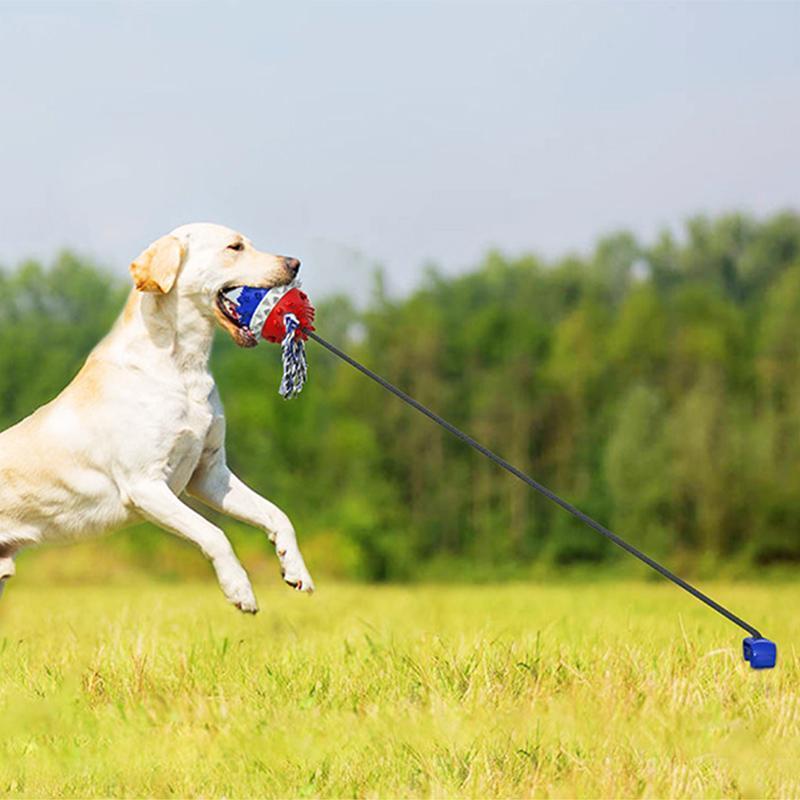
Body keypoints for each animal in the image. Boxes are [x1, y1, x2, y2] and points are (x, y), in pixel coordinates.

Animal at [0, 222, 316, 608]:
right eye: (235, 247)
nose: (295, 263)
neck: (184, 365)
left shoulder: (210, 473)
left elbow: (277, 513)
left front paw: (295, 569)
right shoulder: (145, 485)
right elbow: (214, 534)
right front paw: (239, 590)